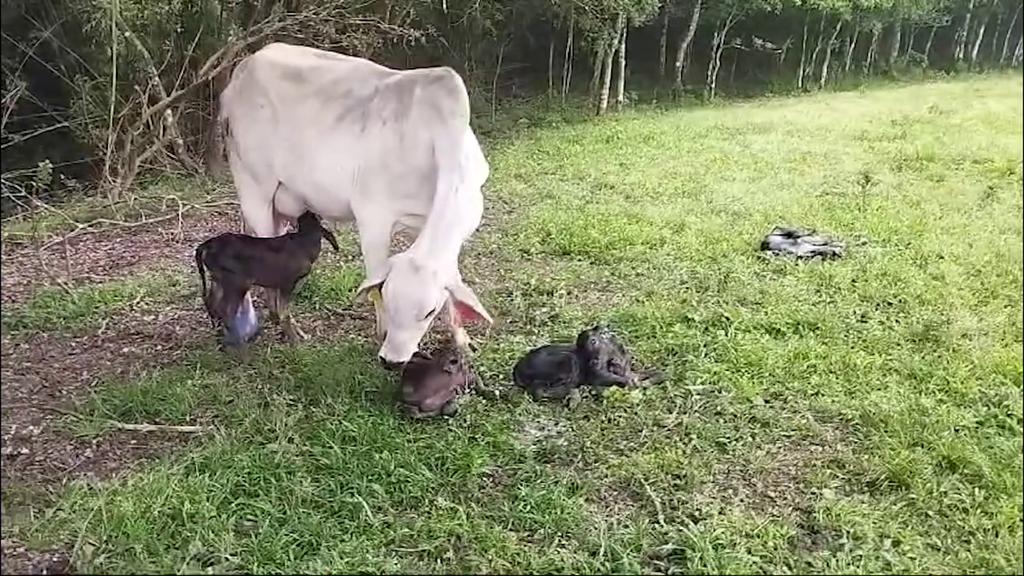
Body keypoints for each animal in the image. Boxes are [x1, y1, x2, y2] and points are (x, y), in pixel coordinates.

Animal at [219, 41, 495, 362]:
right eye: (389, 299)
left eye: (428, 312)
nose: (393, 361)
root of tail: (245, 67)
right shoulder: (372, 217)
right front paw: (381, 334)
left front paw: (461, 341)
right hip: (254, 187)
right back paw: (287, 329)